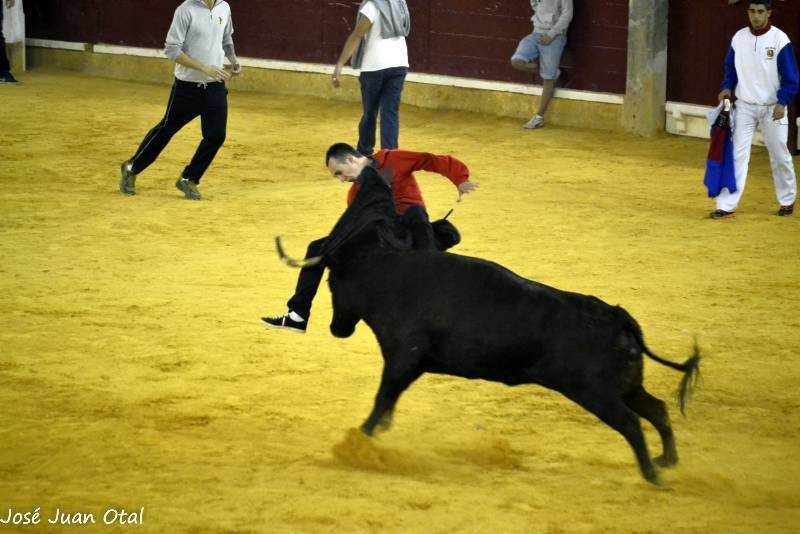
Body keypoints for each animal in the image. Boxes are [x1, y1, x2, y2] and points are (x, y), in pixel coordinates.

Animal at [280, 169, 700, 486]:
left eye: (332, 283)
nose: (337, 329)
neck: (389, 274)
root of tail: (616, 315)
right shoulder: (408, 364)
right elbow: (387, 401)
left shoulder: (403, 359)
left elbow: (383, 398)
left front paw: (360, 440)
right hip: (625, 385)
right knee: (657, 409)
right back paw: (666, 461)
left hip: (596, 392)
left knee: (632, 423)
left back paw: (651, 475)